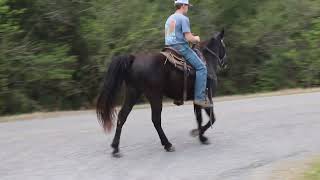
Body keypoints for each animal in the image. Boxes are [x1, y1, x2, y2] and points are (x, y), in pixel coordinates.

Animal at [96, 29, 226, 156]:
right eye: (223, 45)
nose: (225, 62)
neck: (207, 60)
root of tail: (135, 59)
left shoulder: (197, 99)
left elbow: (199, 118)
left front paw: (201, 136)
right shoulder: (206, 97)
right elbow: (212, 118)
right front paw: (198, 134)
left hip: (133, 93)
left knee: (122, 116)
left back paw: (115, 148)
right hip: (155, 96)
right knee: (156, 120)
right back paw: (167, 144)